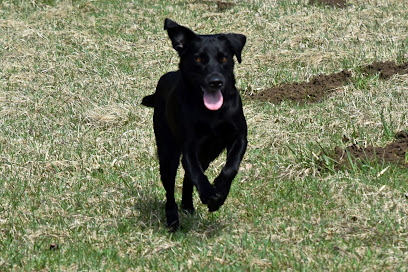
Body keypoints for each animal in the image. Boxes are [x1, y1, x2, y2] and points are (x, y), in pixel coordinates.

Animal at [142, 18, 247, 232]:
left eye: (224, 58)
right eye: (198, 59)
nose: (215, 81)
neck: (211, 114)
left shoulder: (239, 136)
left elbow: (231, 167)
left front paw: (219, 195)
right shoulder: (189, 146)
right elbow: (196, 173)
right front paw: (208, 193)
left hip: (207, 154)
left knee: (188, 178)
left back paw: (188, 206)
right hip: (167, 152)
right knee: (170, 188)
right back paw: (173, 219)